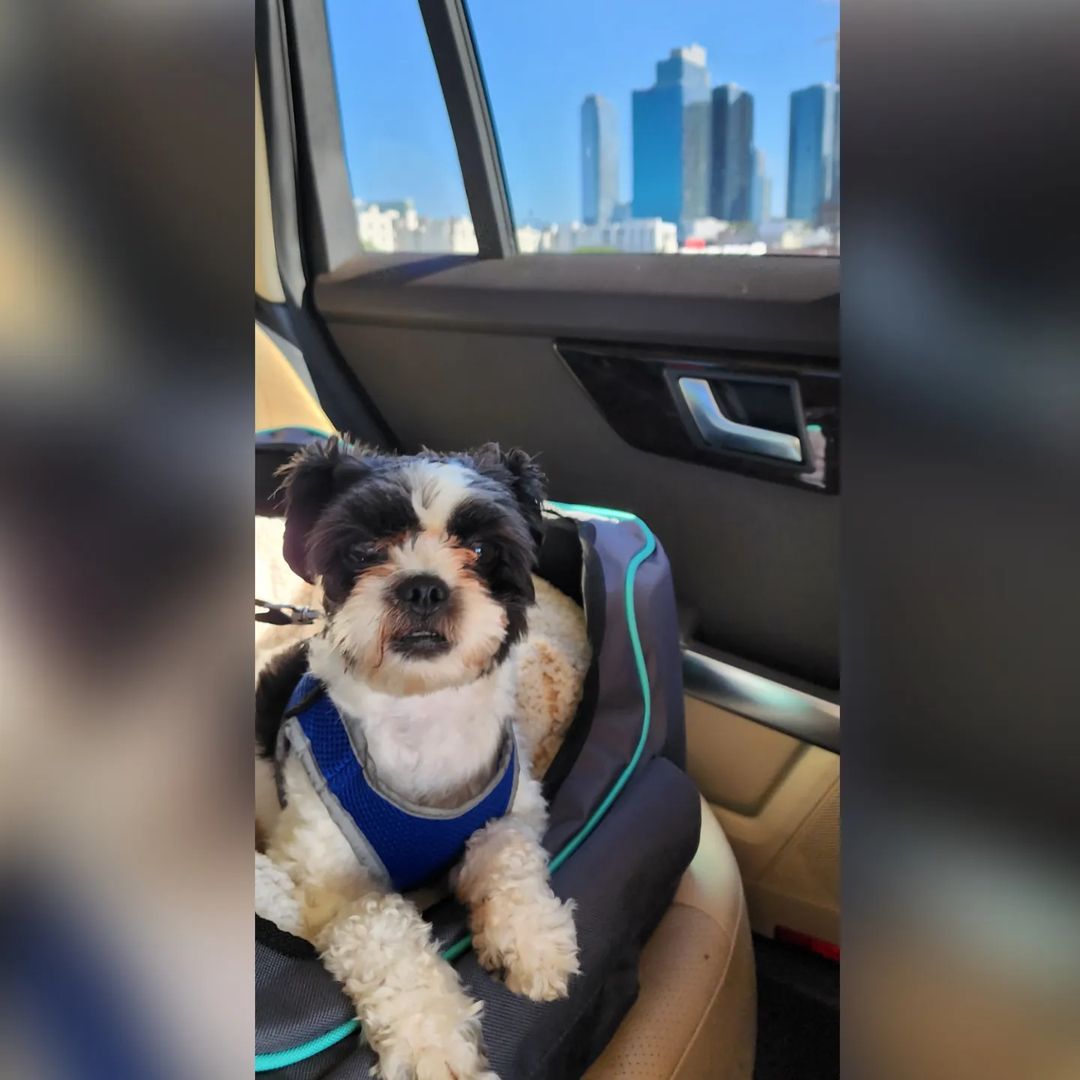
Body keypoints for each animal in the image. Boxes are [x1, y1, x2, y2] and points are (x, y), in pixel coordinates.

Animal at [259, 436, 583, 1080]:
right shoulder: (330, 883)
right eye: (365, 548)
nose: (424, 586)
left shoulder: (514, 810)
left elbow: (506, 849)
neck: (420, 711)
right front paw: (432, 1041)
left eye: (480, 549)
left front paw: (532, 938)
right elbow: (381, 924)